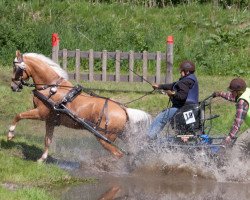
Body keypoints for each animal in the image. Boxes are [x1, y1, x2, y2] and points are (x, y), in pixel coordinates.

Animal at [9, 50, 150, 162]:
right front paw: (42, 159)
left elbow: (18, 115)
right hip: (123, 135)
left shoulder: (40, 113)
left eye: (16, 68)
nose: (13, 86)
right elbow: (47, 140)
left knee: (118, 155)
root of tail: (123, 109)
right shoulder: (50, 120)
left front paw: (10, 133)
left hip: (105, 139)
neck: (51, 87)